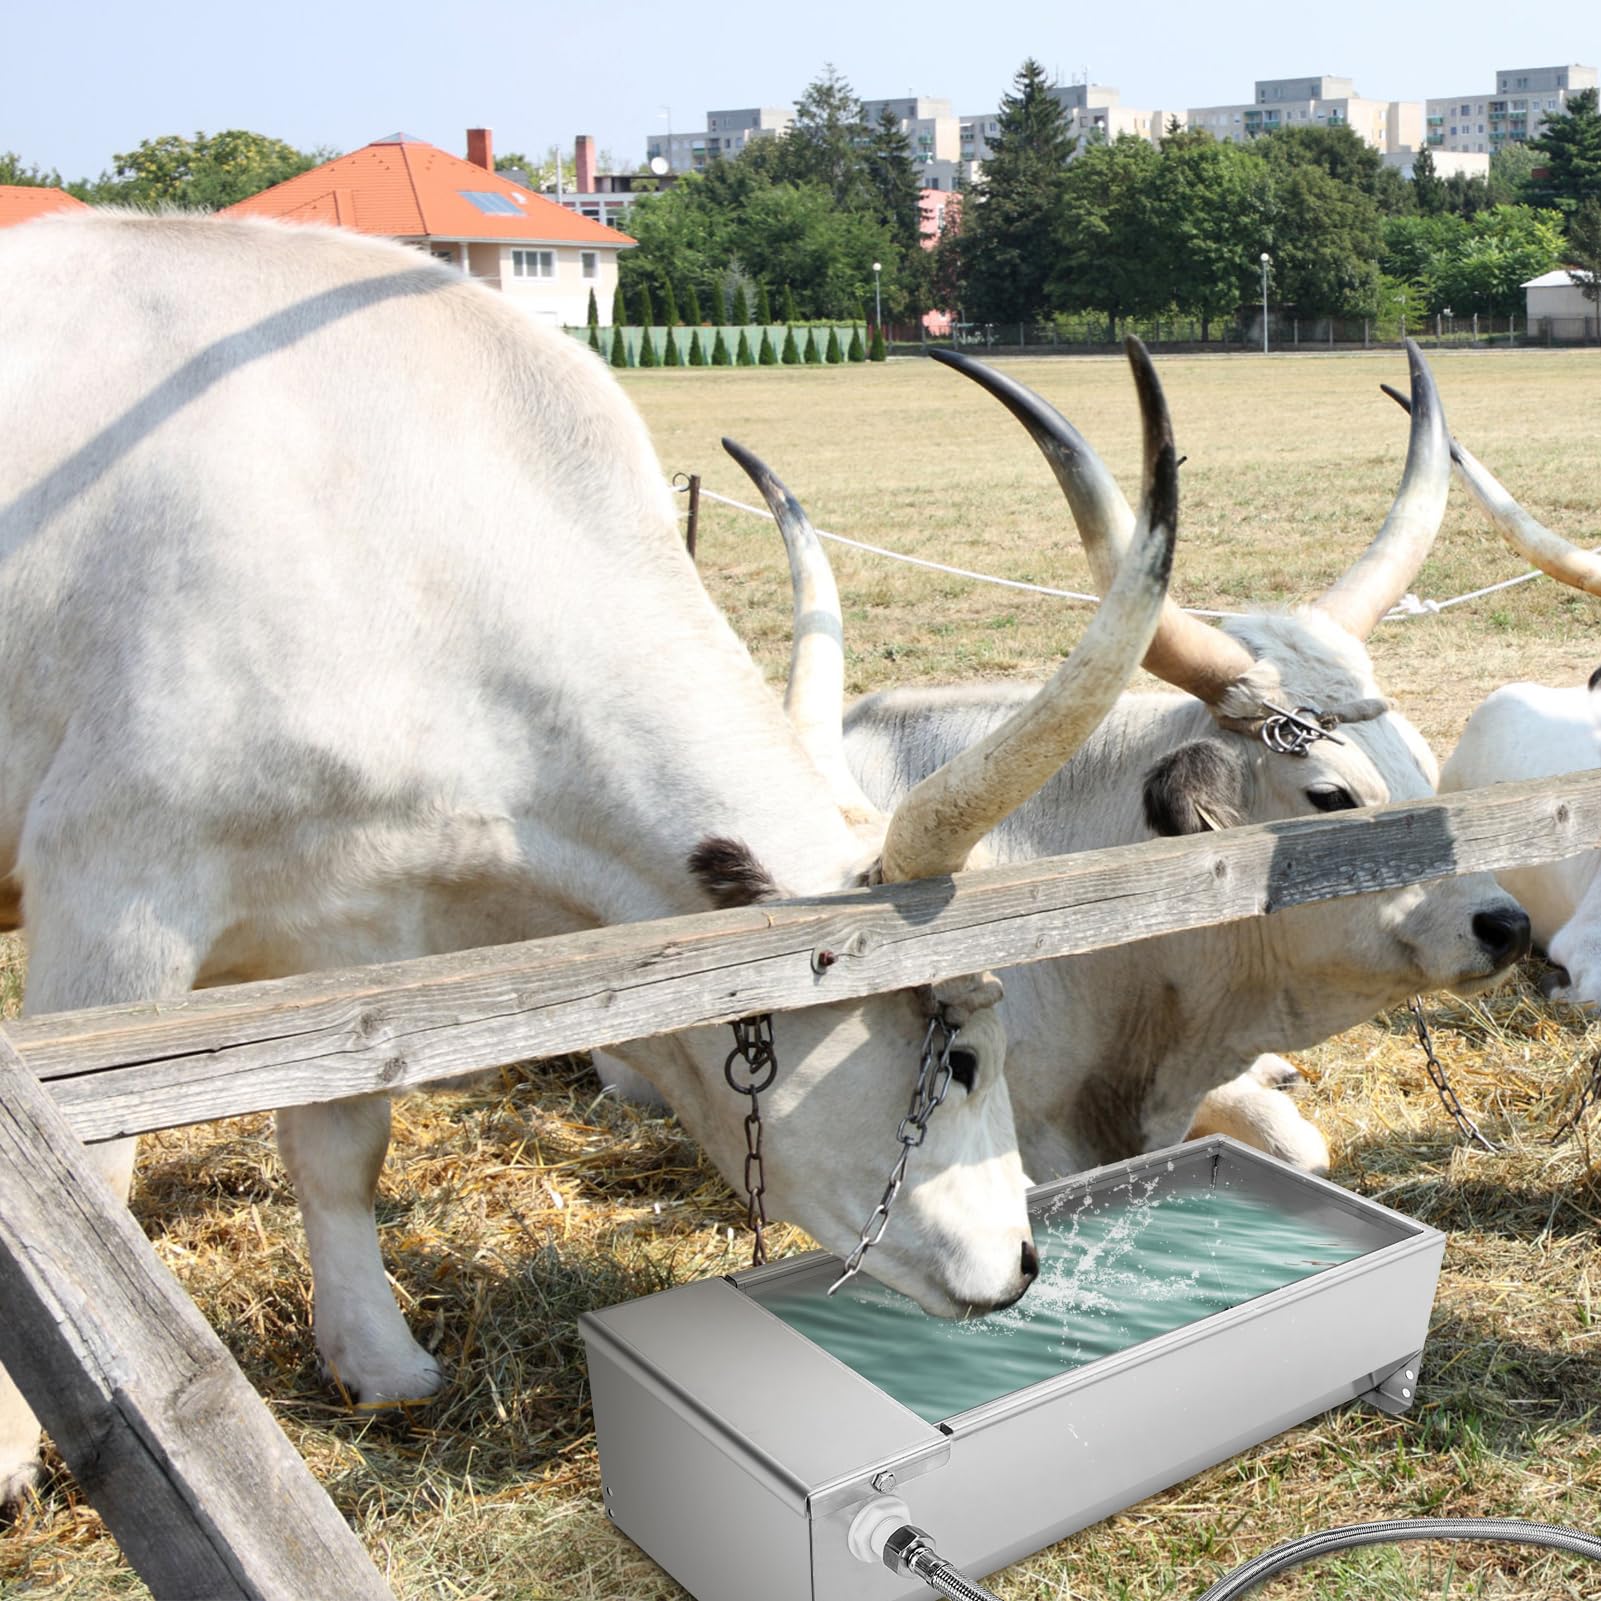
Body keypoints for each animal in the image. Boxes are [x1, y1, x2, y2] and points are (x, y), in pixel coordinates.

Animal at [0, 213, 1176, 1507]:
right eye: (959, 1058)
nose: (1021, 1260)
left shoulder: (350, 946)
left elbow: (342, 1147)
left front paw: (380, 1358)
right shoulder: (111, 900)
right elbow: (87, 1179)